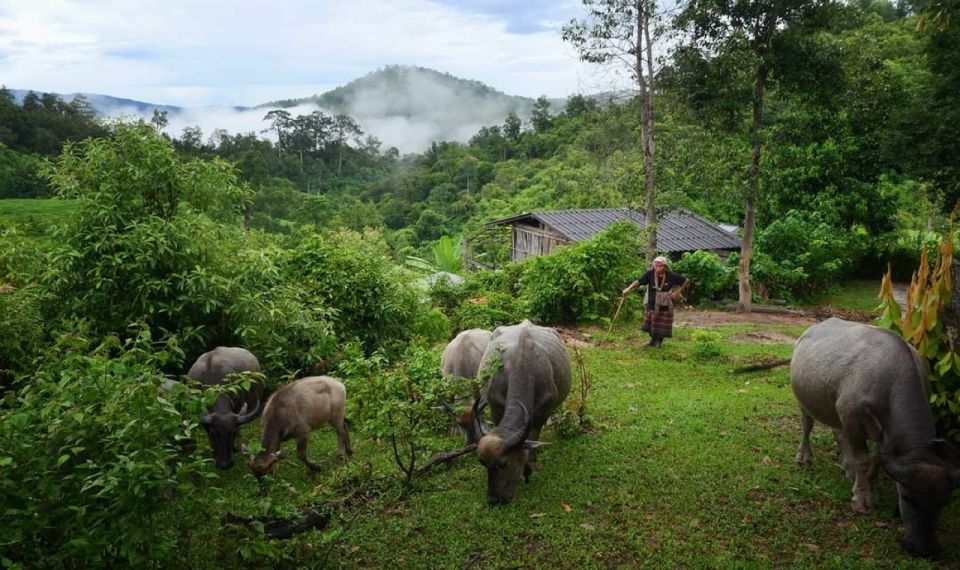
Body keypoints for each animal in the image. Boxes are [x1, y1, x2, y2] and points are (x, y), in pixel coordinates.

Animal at [466, 320, 568, 502]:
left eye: (504, 463)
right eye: (482, 463)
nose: (494, 499)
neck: (523, 364)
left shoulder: (542, 414)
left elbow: (533, 436)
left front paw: (530, 464)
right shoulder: (496, 409)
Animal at [792, 316, 960, 556]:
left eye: (944, 503)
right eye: (907, 498)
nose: (921, 548)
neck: (889, 381)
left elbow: (877, 459)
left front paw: (870, 482)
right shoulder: (851, 417)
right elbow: (864, 460)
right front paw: (862, 498)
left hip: (835, 409)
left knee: (838, 434)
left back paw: (848, 469)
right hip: (805, 400)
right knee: (807, 424)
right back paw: (804, 456)